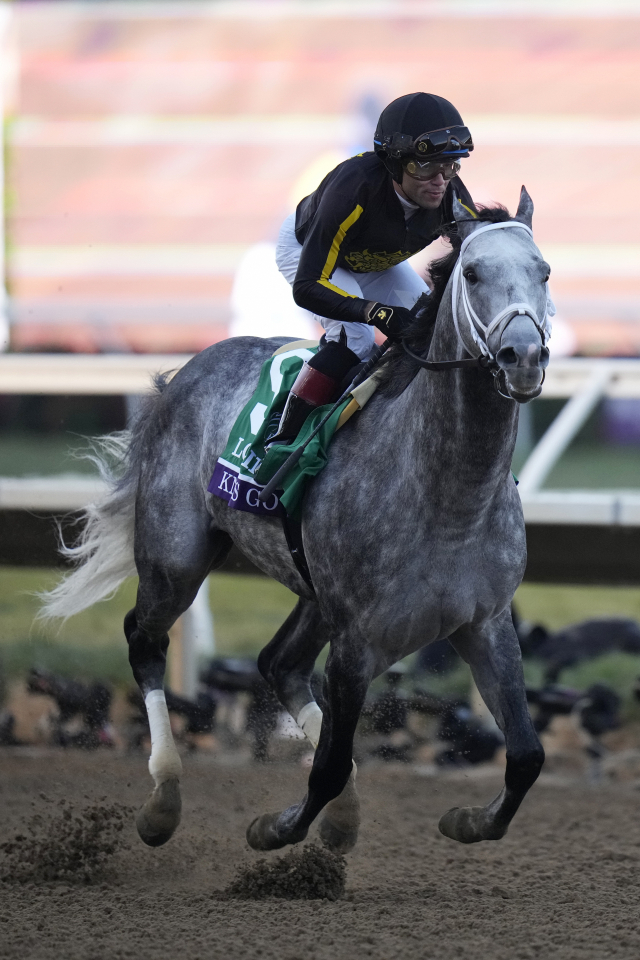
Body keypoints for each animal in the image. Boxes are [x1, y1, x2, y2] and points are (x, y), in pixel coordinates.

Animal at [41, 188, 552, 856]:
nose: (523, 357)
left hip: (312, 592)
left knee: (278, 663)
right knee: (145, 639)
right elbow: (328, 765)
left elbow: (526, 755)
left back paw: (342, 816)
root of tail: (182, 373)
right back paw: (162, 803)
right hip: (176, 557)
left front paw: (468, 820)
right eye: (471, 274)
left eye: (544, 272)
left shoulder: (485, 624)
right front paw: (275, 828)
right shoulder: (357, 640)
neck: (452, 498)